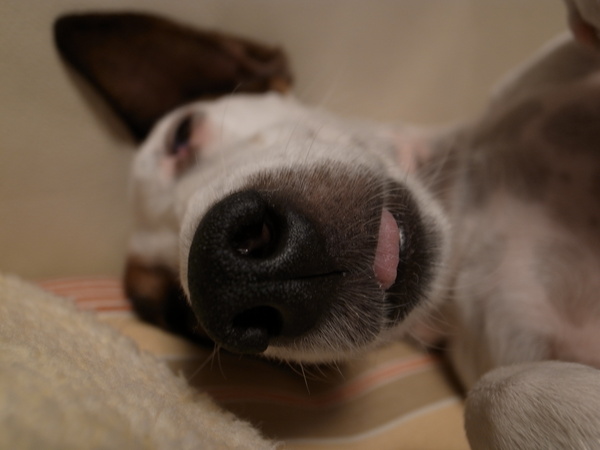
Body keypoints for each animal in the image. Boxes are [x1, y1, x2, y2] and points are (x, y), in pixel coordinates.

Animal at [54, 3, 600, 448]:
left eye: (182, 134)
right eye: (179, 318)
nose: (228, 275)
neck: (463, 210)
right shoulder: (505, 347)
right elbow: (496, 394)